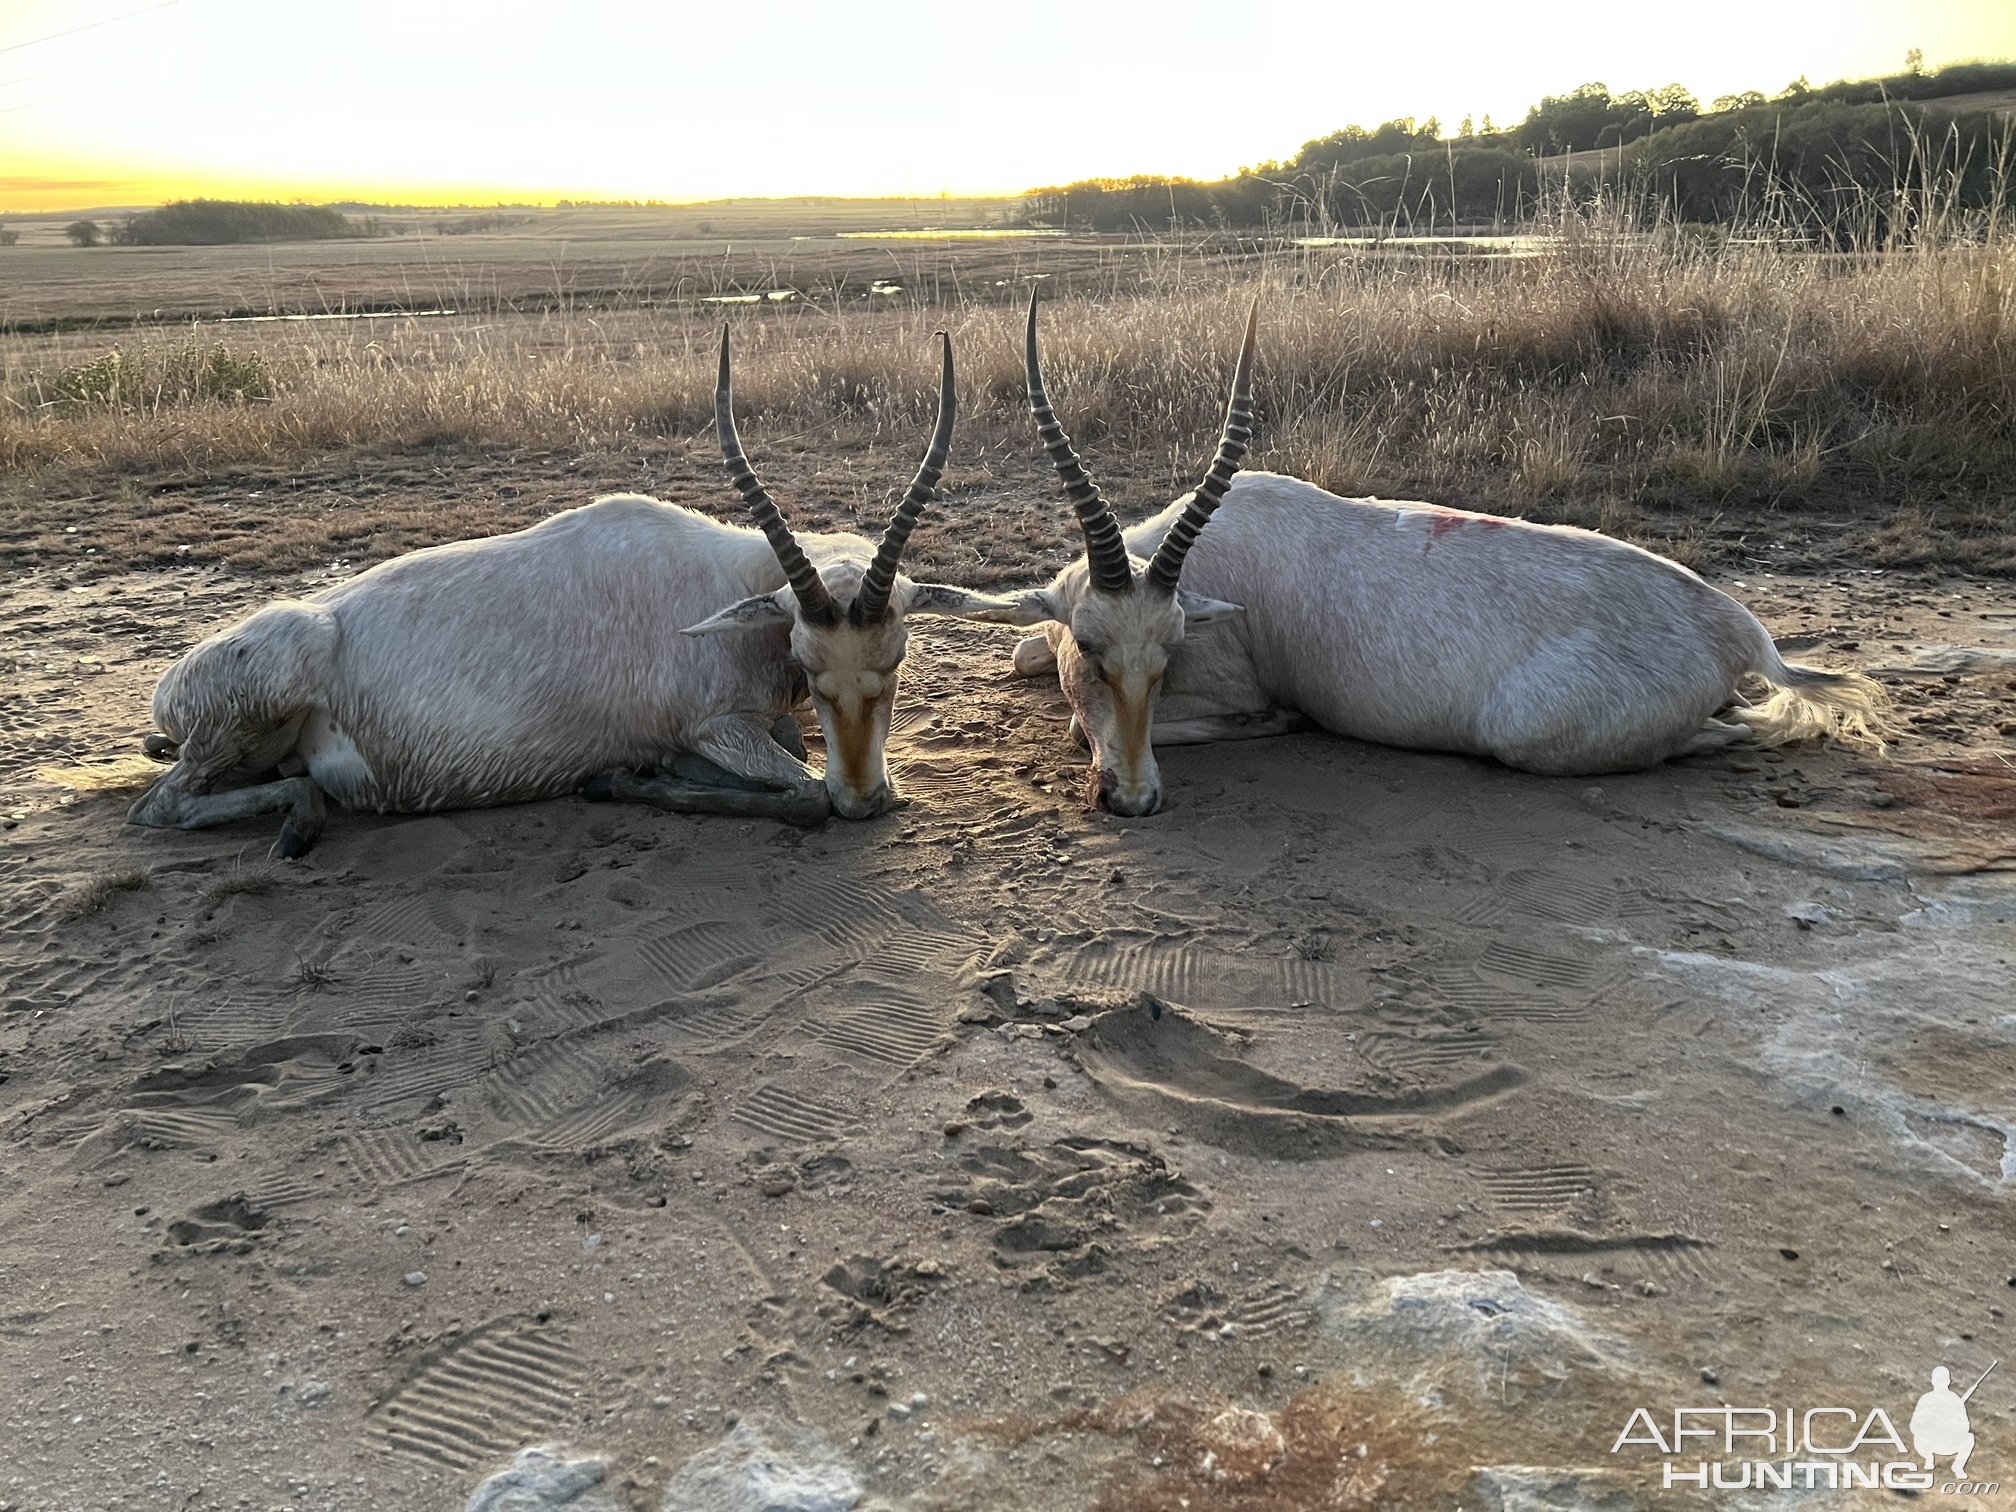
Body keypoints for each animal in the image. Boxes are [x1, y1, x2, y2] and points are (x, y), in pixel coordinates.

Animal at [134, 326, 1032, 858]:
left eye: (898, 659)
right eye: (808, 662)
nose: (865, 800)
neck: (727, 586)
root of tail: (171, 687)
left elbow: (795, 748)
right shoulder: (711, 726)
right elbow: (799, 786)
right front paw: (620, 779)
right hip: (262, 691)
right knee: (161, 807)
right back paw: (298, 820)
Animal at [1008, 294, 1886, 818]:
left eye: (1168, 659)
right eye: (1091, 647)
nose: (1133, 801)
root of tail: (1732, 627)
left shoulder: (1223, 684)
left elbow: (1105, 724)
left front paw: (1276, 720)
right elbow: (1026, 652)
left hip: (1525, 732)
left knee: (1728, 733)